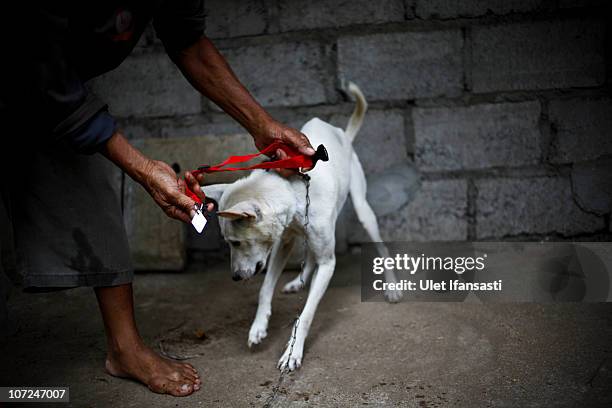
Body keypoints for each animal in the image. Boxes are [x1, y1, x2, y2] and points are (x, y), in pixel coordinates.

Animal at [202, 81, 402, 372]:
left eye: (235, 242)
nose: (236, 278)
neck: (294, 189)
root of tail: (341, 134)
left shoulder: (328, 262)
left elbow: (306, 314)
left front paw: (292, 351)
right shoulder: (281, 244)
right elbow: (264, 289)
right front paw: (258, 327)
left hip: (363, 211)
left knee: (377, 245)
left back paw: (392, 286)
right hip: (302, 236)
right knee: (309, 256)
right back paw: (299, 281)